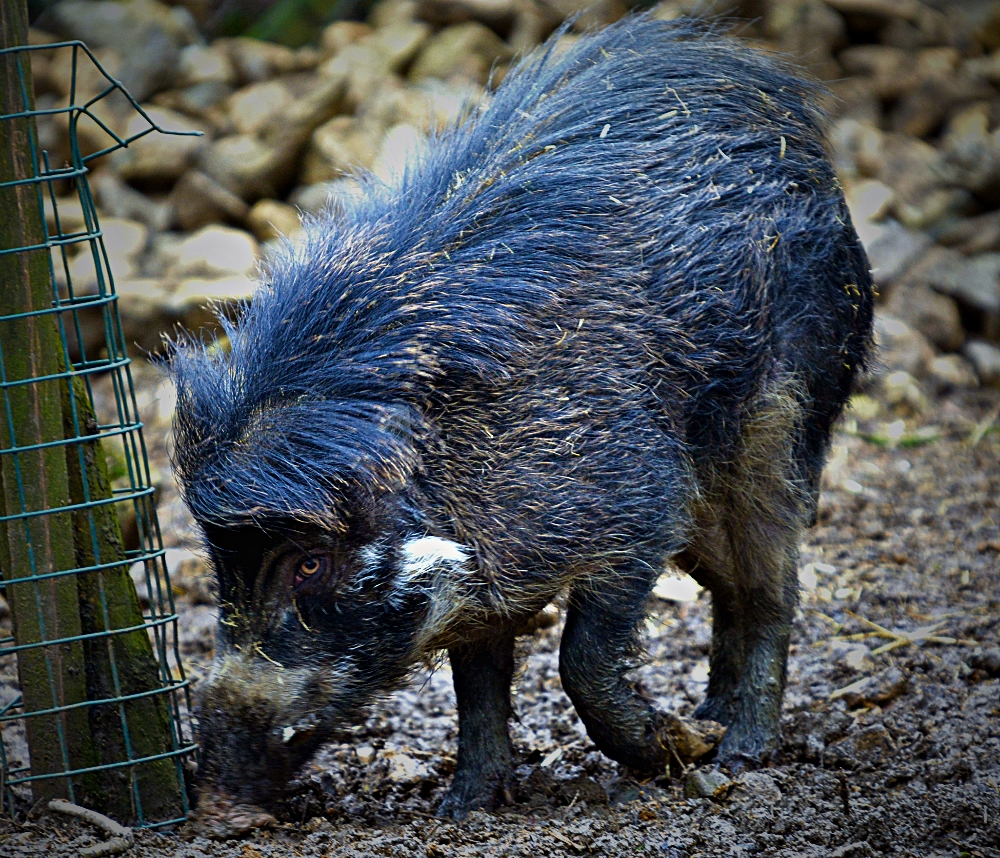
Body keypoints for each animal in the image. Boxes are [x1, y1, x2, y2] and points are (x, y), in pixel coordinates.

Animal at [170, 14, 874, 833]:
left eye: (309, 564)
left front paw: (679, 751)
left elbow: (581, 660)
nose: (216, 809)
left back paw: (738, 751)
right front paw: (462, 808)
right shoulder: (484, 582)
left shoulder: (639, 507)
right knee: (732, 588)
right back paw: (713, 718)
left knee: (774, 588)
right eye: (220, 566)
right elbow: (475, 687)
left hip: (781, 424)